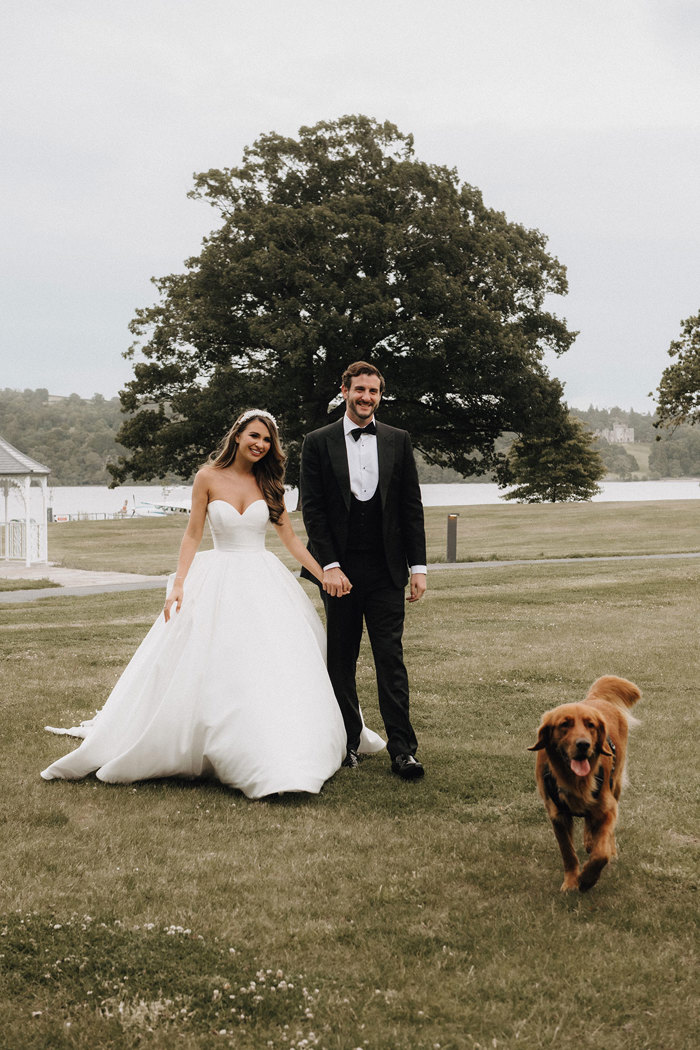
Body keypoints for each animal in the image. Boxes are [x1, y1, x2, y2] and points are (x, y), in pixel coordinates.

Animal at [531, 676, 642, 890]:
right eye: (564, 724)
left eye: (590, 725)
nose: (583, 744)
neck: (575, 780)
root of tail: (595, 698)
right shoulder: (557, 815)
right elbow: (568, 853)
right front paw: (571, 882)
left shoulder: (608, 807)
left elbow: (601, 852)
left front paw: (587, 879)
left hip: (616, 784)